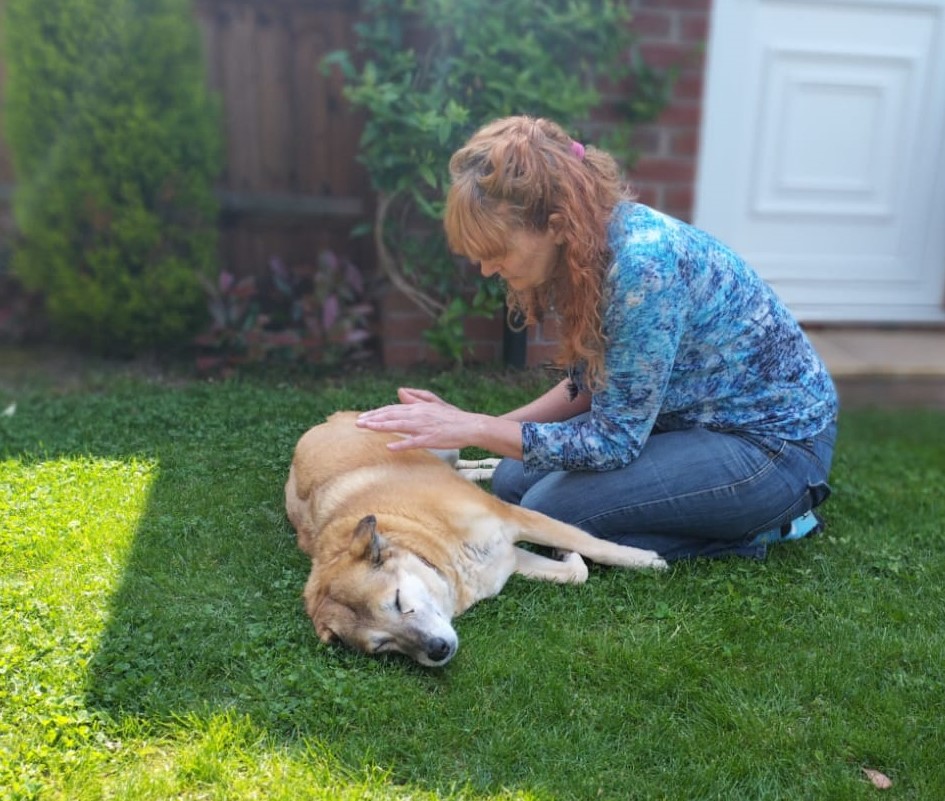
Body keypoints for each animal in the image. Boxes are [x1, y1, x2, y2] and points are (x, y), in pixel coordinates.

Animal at [284, 410, 668, 664]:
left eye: (397, 601)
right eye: (383, 645)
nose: (437, 651)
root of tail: (330, 420)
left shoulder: (514, 518)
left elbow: (595, 547)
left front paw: (644, 560)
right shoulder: (507, 559)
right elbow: (577, 572)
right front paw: (564, 554)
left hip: (439, 445)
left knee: (462, 462)